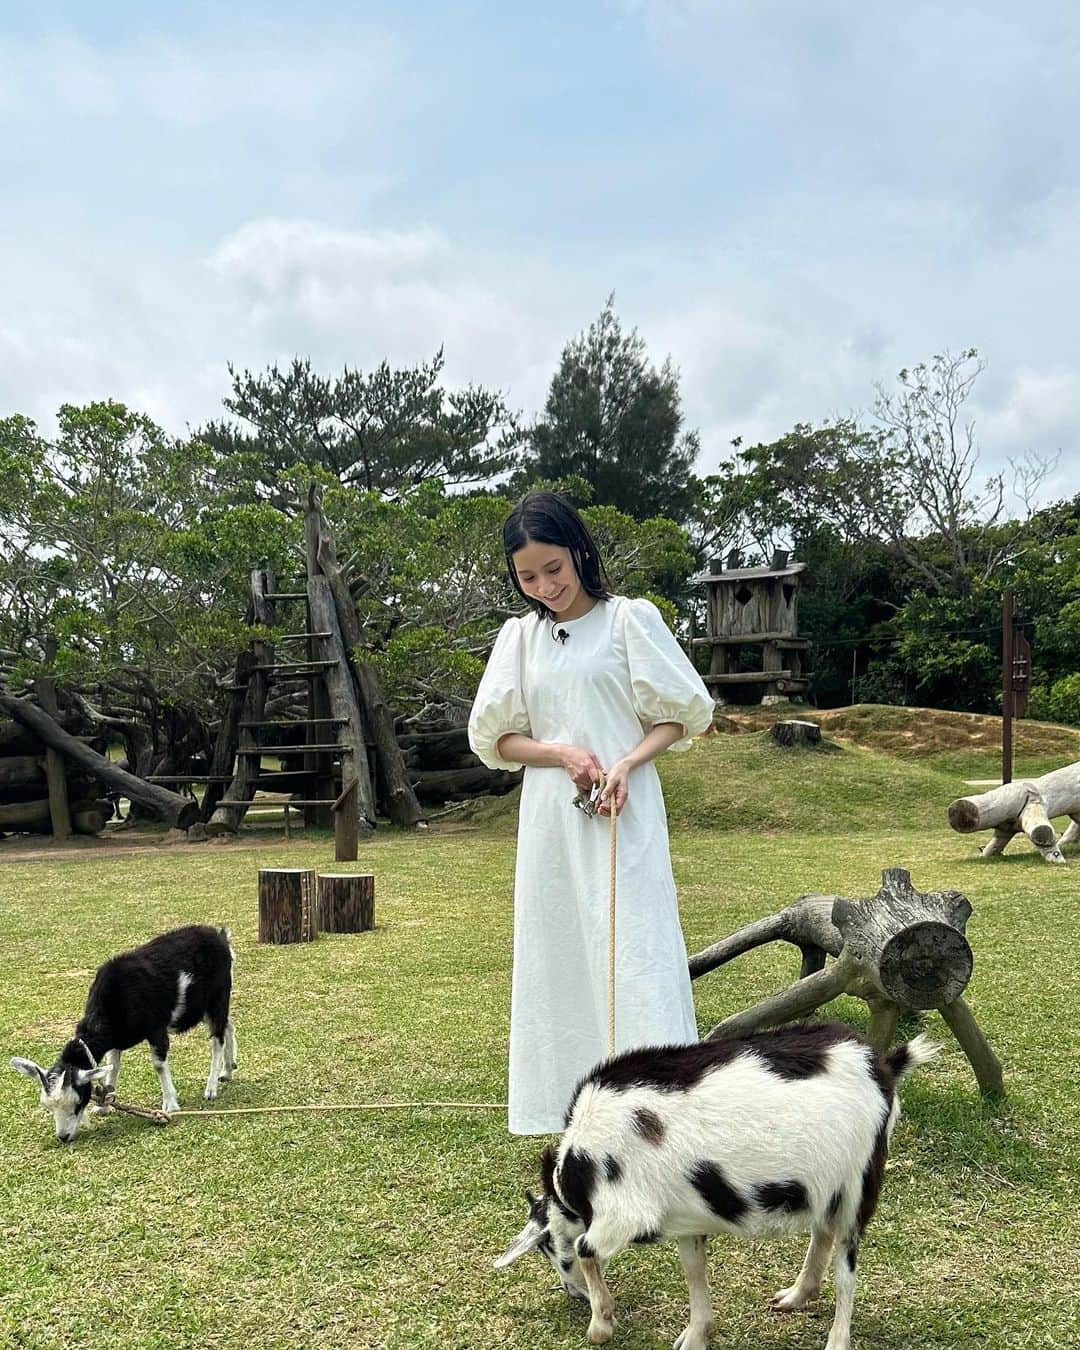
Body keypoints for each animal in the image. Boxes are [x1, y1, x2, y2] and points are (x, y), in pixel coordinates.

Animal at [11, 923, 234, 1144]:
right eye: (47, 1106)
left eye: (77, 1102)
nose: (63, 1137)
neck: (115, 999)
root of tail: (221, 936)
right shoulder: (115, 1040)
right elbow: (113, 1067)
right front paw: (103, 1105)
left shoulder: (156, 1028)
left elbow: (158, 1065)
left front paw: (170, 1104)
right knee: (228, 1026)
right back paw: (228, 1070)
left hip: (217, 997)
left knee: (218, 1039)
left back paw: (211, 1088)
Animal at [496, 1020, 934, 1350]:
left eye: (555, 1254)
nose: (573, 1295)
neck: (578, 1169)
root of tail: (882, 1063)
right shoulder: (687, 1218)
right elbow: (693, 1270)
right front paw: (695, 1336)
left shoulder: (623, 1213)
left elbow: (588, 1249)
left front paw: (600, 1325)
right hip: (828, 1187)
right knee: (822, 1231)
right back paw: (796, 1296)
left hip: (859, 1181)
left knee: (846, 1265)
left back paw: (837, 1339)